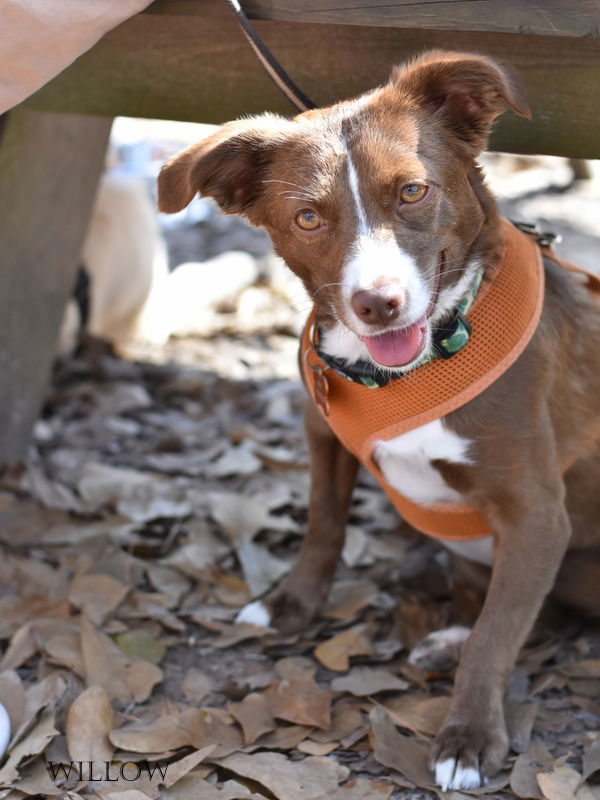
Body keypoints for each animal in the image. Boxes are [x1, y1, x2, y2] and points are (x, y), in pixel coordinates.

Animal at [156, 51, 600, 792]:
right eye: (308, 216)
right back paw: (445, 637)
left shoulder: (538, 517)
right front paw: (290, 603)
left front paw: (468, 738)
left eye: (414, 191)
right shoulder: (323, 437)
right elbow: (323, 525)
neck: (413, 368)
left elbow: (496, 637)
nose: (378, 303)